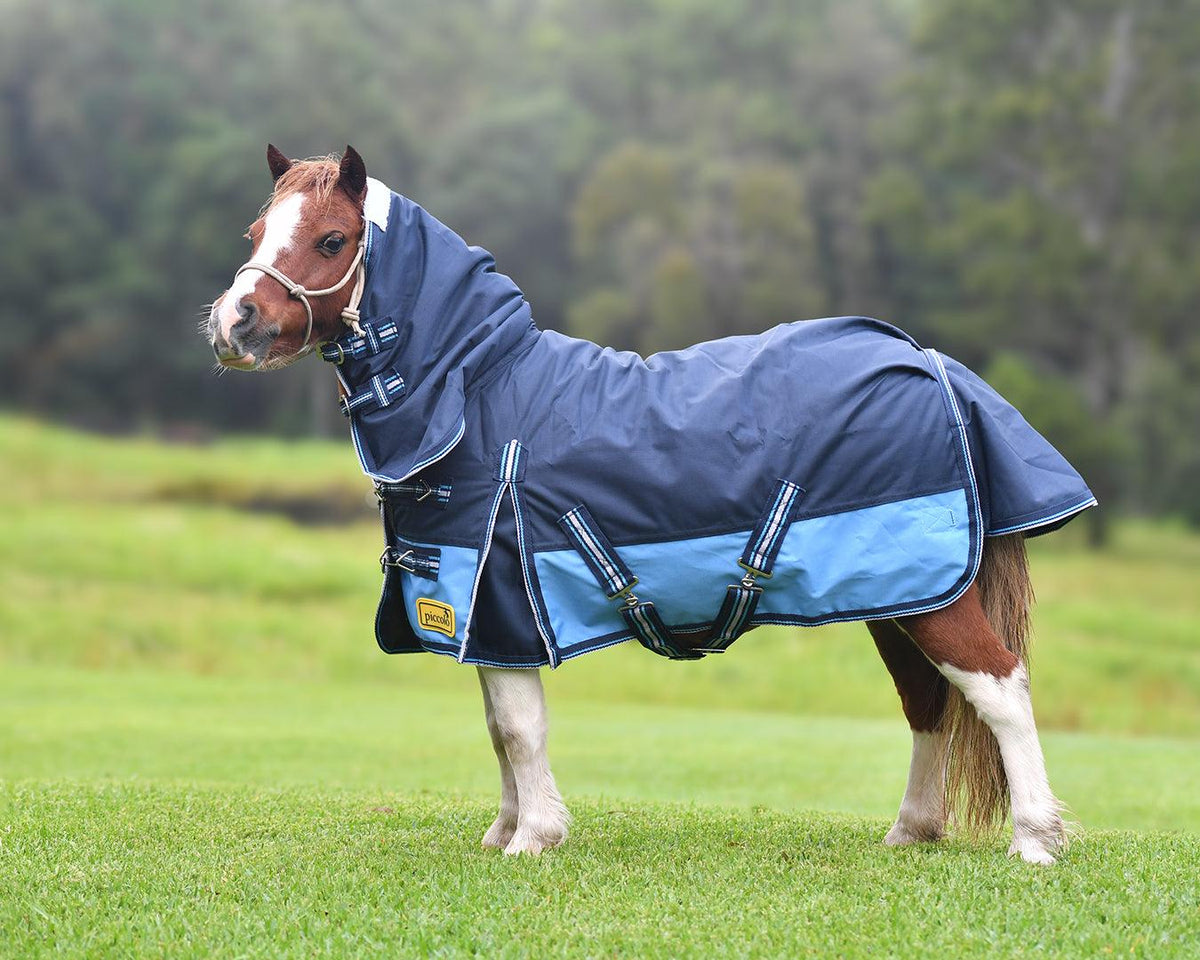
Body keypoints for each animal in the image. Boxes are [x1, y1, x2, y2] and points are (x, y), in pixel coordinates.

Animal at [205, 145, 1096, 865]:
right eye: (254, 234)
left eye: (331, 240)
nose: (233, 322)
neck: (478, 394)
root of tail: (932, 363)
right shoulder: (477, 615)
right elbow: (496, 725)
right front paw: (504, 829)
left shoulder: (501, 600)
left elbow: (519, 727)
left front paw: (533, 838)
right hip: (899, 595)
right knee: (928, 701)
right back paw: (912, 831)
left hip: (927, 598)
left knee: (999, 687)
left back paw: (1034, 840)